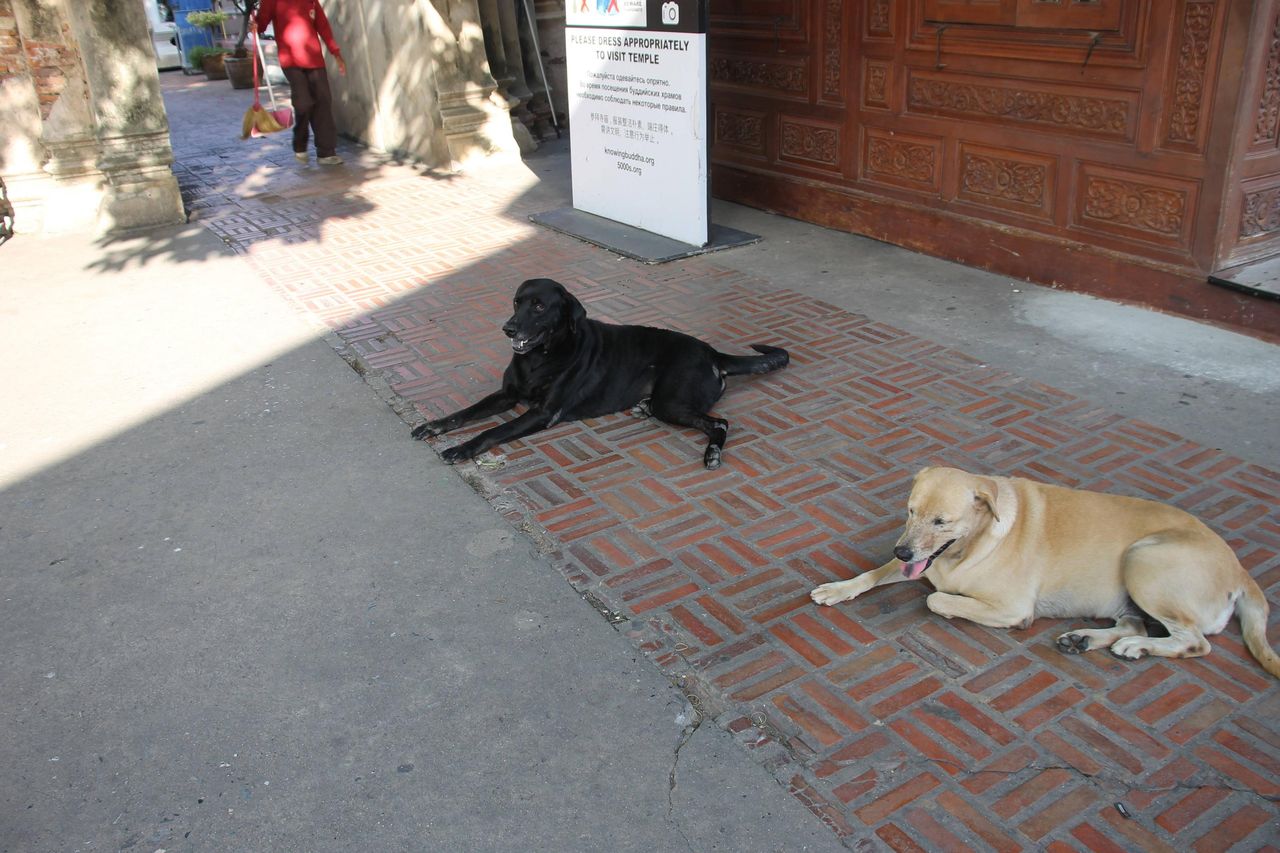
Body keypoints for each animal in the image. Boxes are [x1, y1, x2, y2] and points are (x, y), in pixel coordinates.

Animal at [411, 278, 789, 468]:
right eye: (517, 301)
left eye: (539, 306)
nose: (508, 328)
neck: (541, 357)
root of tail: (711, 352)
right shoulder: (507, 394)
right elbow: (464, 413)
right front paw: (434, 425)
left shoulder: (543, 413)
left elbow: (492, 431)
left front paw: (462, 449)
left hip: (672, 401)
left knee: (719, 422)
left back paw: (712, 452)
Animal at [810, 466, 1280, 677]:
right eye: (910, 511)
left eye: (941, 521)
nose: (902, 547)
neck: (971, 545)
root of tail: (1241, 571)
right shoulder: (917, 563)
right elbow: (873, 574)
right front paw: (839, 588)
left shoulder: (1011, 606)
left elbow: (936, 598)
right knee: (1138, 624)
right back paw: (1088, 639)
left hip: (1143, 559)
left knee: (1195, 642)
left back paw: (1136, 647)